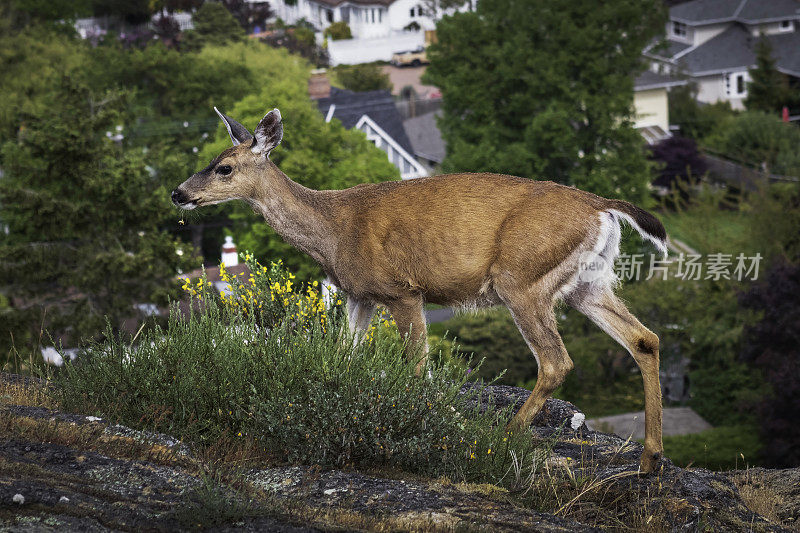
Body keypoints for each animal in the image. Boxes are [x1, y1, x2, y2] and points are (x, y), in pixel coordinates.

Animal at [173, 106, 668, 472]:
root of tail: (601, 205)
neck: (333, 231)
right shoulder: (359, 294)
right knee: (644, 338)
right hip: (587, 282)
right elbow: (345, 356)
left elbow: (416, 368)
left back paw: (502, 437)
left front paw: (438, 429)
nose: (178, 193)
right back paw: (649, 461)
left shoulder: (401, 291)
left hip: (521, 279)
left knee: (556, 361)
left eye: (223, 167)